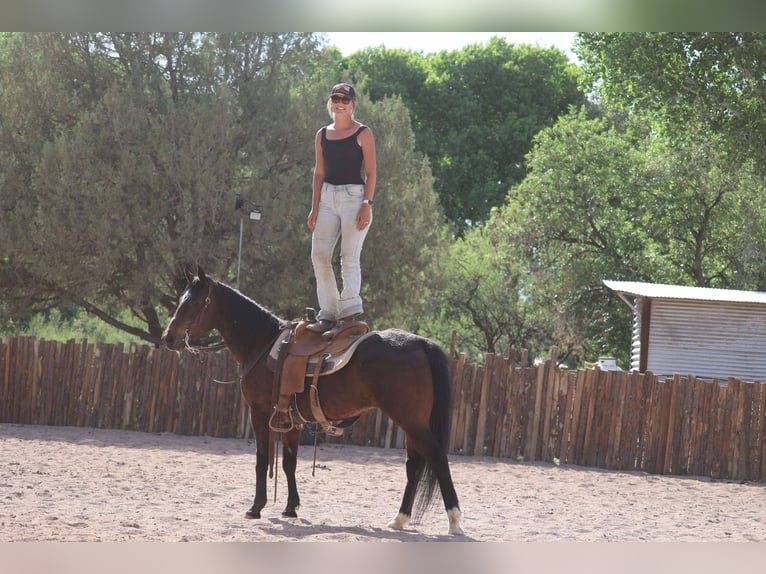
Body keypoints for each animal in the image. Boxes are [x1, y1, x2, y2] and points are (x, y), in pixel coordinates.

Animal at [161, 267, 464, 536]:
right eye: (180, 300)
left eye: (193, 303)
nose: (168, 337)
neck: (262, 343)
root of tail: (422, 343)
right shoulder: (291, 420)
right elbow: (289, 462)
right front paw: (290, 507)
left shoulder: (259, 413)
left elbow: (262, 459)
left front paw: (256, 507)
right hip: (412, 423)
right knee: (414, 465)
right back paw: (399, 519)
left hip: (412, 422)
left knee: (437, 458)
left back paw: (454, 521)